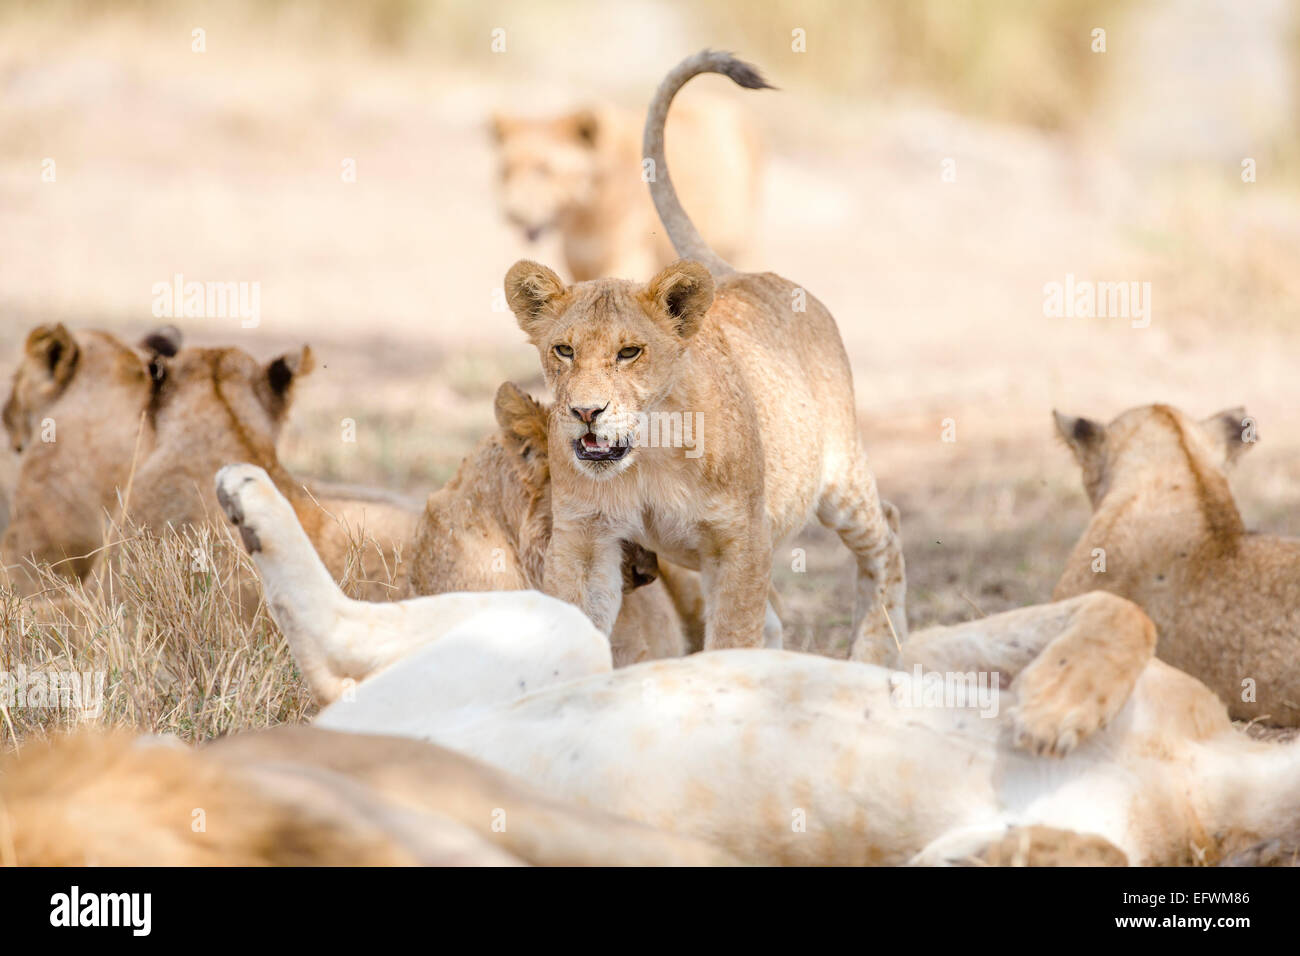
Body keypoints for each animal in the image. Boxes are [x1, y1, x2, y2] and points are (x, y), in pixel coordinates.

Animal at [218, 463, 1294, 868]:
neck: (1210, 772)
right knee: (339, 627)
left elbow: (1072, 850)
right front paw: (1055, 707)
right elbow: (1118, 609)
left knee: (327, 660)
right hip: (551, 630)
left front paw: (1040, 834)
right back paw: (248, 495)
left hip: (470, 685)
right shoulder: (935, 651)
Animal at [493, 93, 759, 280]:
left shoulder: (630, 258)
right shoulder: (577, 263)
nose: (513, 213)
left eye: (544, 169)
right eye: (505, 170)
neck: (583, 218)